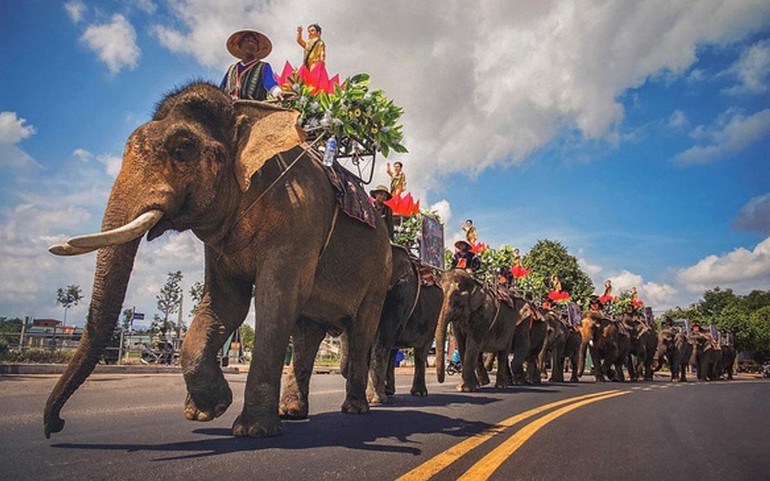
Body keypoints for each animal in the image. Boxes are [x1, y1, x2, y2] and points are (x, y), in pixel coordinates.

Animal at [42, 83, 390, 438]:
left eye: (183, 148)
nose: (56, 425)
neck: (245, 114)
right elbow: (227, 303)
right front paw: (207, 410)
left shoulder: (298, 218)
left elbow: (276, 299)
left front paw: (252, 431)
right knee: (308, 332)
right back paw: (292, 412)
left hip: (379, 275)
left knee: (361, 331)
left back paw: (355, 408)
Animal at [364, 244, 438, 402]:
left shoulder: (401, 293)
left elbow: (381, 339)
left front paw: (374, 400)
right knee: (393, 350)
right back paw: (389, 392)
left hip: (433, 322)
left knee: (421, 352)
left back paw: (418, 393)